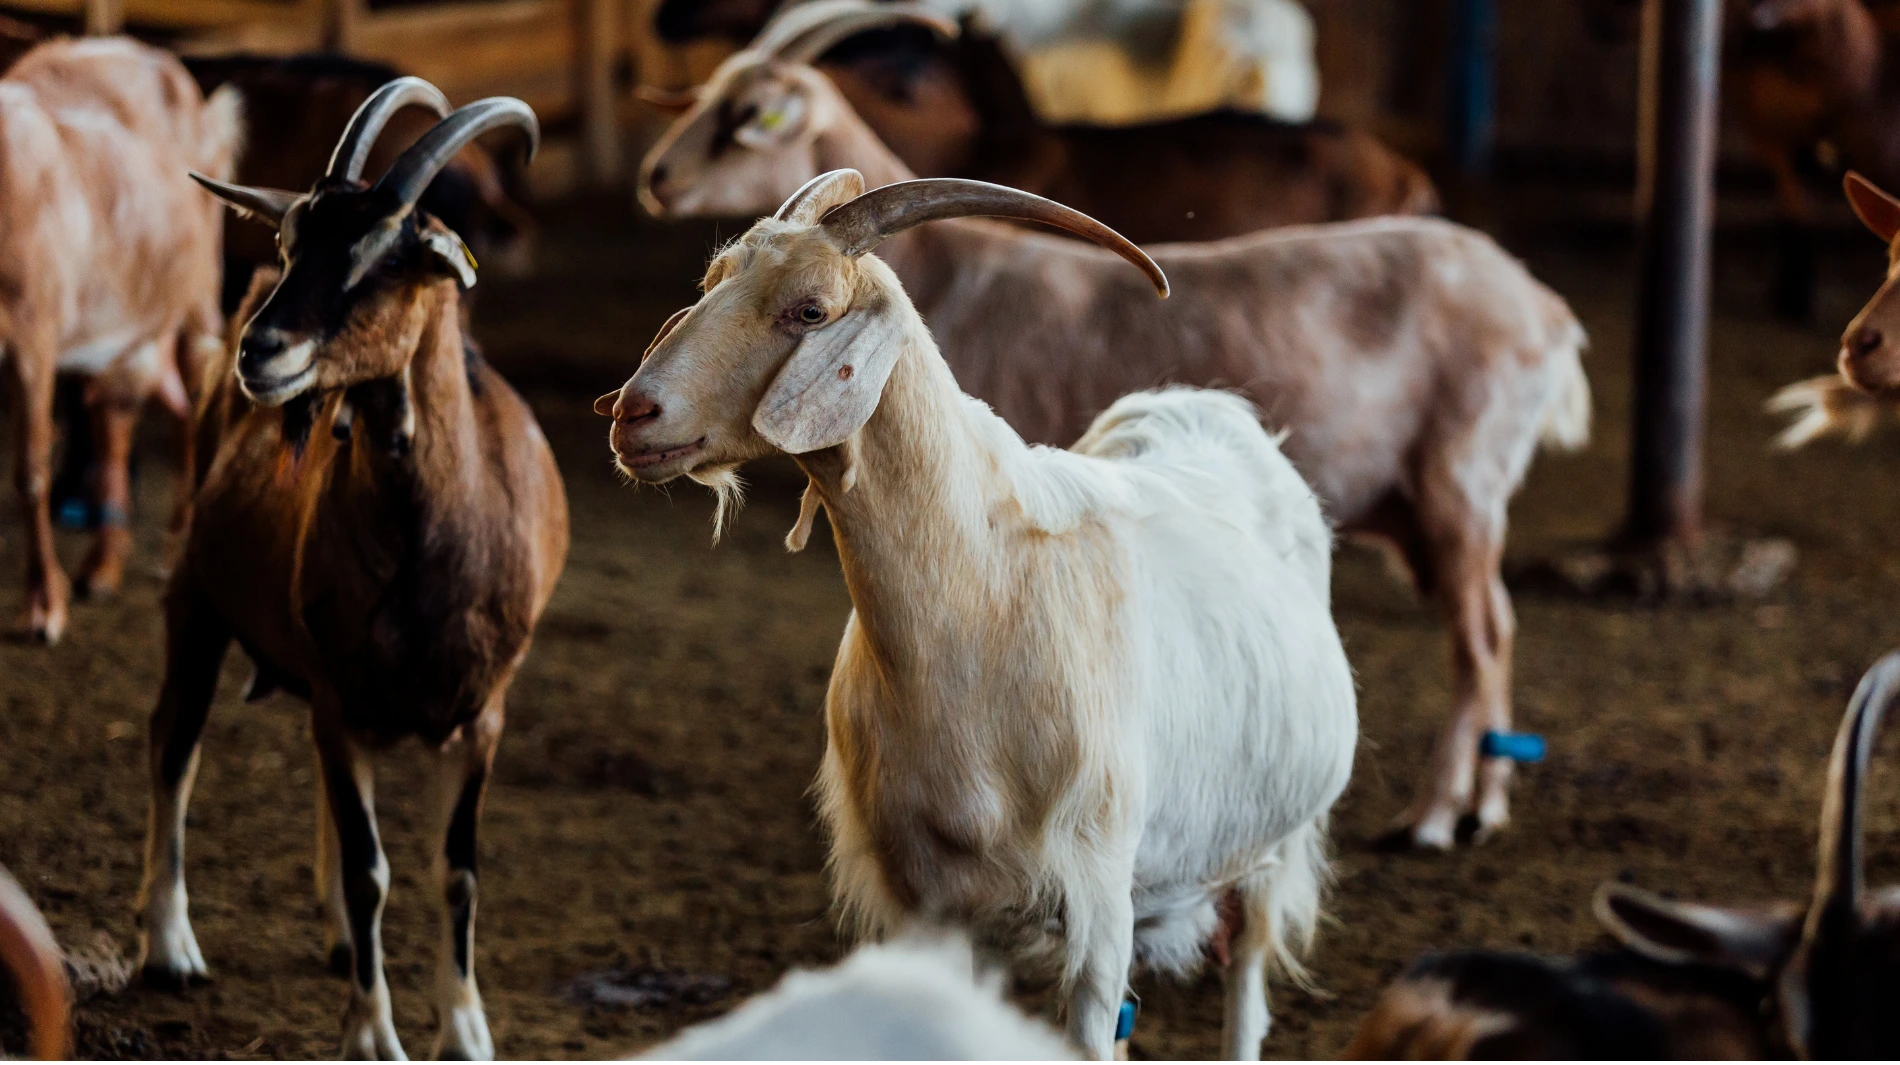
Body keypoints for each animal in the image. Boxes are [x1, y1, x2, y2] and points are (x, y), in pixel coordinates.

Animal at [0, 36, 241, 643]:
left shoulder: (33, 331)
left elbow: (30, 471)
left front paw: (45, 605)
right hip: (128, 326)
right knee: (121, 416)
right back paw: (105, 565)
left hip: (200, 293)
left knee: (194, 395)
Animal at [138, 78, 569, 1060]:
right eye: (291, 239)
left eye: (390, 255)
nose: (263, 351)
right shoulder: (341, 694)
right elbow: (375, 866)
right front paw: (373, 1031)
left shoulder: (484, 711)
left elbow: (459, 869)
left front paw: (465, 1025)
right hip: (196, 597)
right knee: (172, 743)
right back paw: (170, 941)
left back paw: (335, 937)